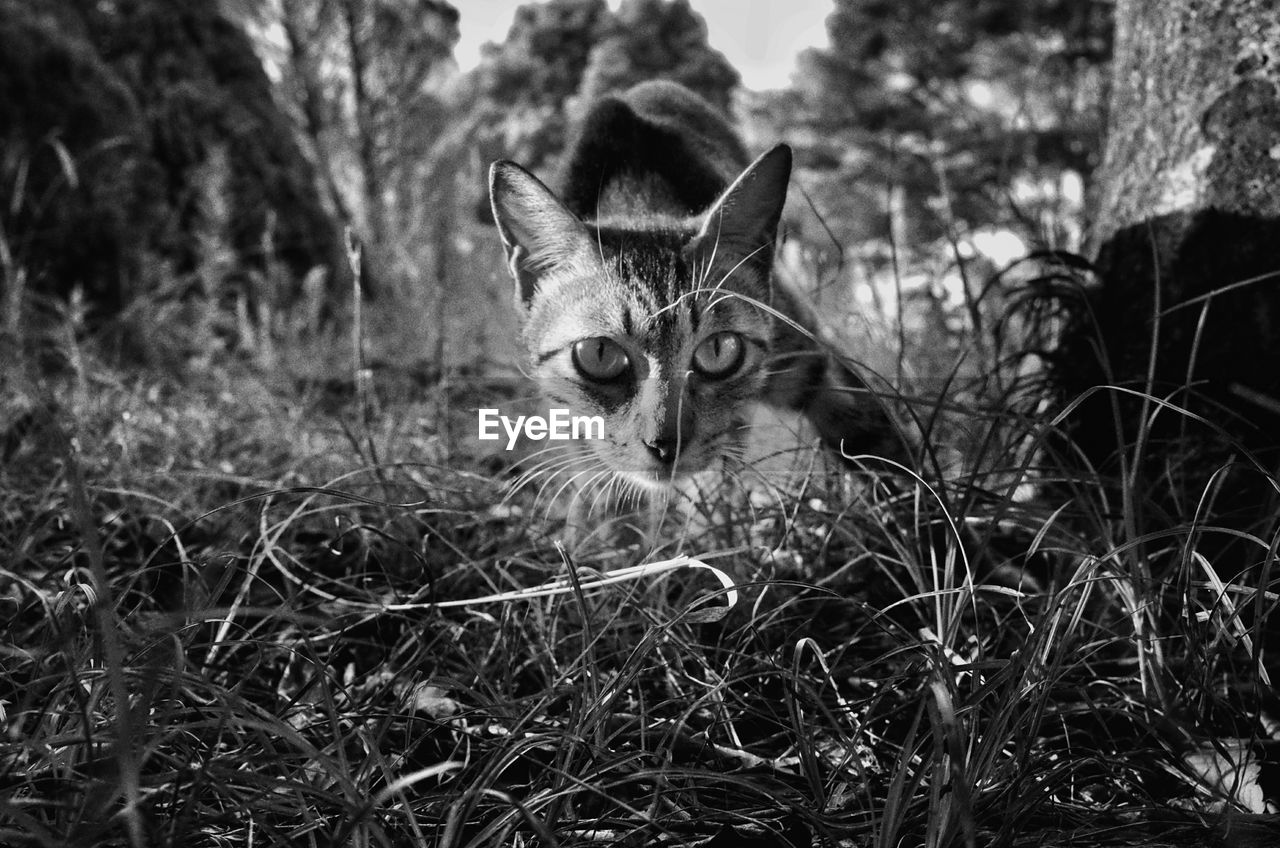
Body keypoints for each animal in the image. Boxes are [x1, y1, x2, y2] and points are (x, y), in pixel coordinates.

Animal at [483, 78, 906, 545]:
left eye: (719, 350)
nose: (666, 445)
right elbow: (601, 491)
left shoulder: (812, 356)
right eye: (598, 354)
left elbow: (880, 445)